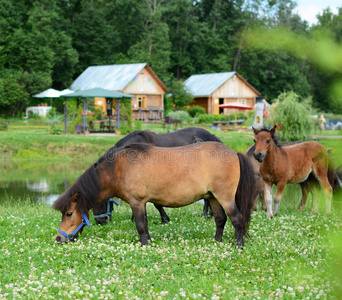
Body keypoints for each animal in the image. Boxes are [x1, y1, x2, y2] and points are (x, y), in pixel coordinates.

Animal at [53, 142, 255, 247]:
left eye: (69, 213)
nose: (59, 238)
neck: (118, 168)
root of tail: (233, 153)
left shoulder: (136, 202)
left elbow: (141, 226)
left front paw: (144, 244)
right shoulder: (142, 203)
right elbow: (146, 224)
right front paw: (149, 241)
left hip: (225, 198)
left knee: (237, 219)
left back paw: (239, 245)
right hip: (212, 198)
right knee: (220, 220)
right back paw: (216, 242)